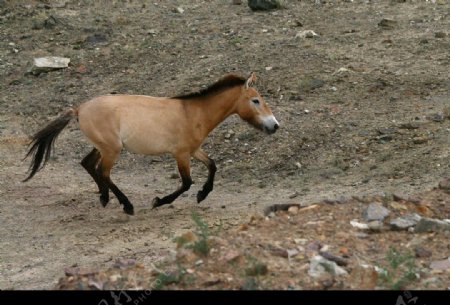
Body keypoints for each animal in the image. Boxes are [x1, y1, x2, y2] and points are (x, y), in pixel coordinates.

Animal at [23, 72, 282, 214]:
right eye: (256, 100)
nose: (275, 125)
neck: (194, 113)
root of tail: (79, 109)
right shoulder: (181, 154)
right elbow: (186, 183)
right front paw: (159, 201)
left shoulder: (194, 150)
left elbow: (212, 165)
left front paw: (202, 194)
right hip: (111, 149)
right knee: (103, 172)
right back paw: (126, 206)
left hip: (103, 147)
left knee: (88, 165)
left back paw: (104, 198)